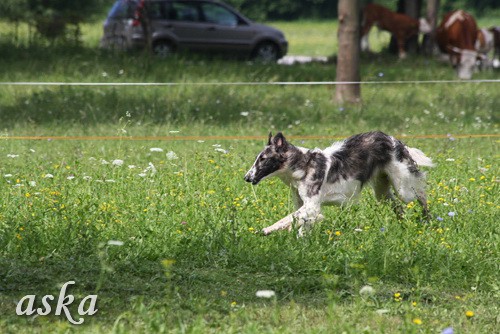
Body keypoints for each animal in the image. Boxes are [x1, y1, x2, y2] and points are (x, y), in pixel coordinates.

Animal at [245, 132, 434, 236]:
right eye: (258, 158)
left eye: (263, 159)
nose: (246, 177)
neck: (303, 166)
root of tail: (394, 139)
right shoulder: (303, 205)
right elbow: (296, 222)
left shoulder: (312, 206)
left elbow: (288, 220)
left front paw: (265, 231)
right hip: (382, 192)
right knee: (399, 208)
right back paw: (402, 225)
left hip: (404, 189)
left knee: (422, 194)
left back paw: (427, 220)